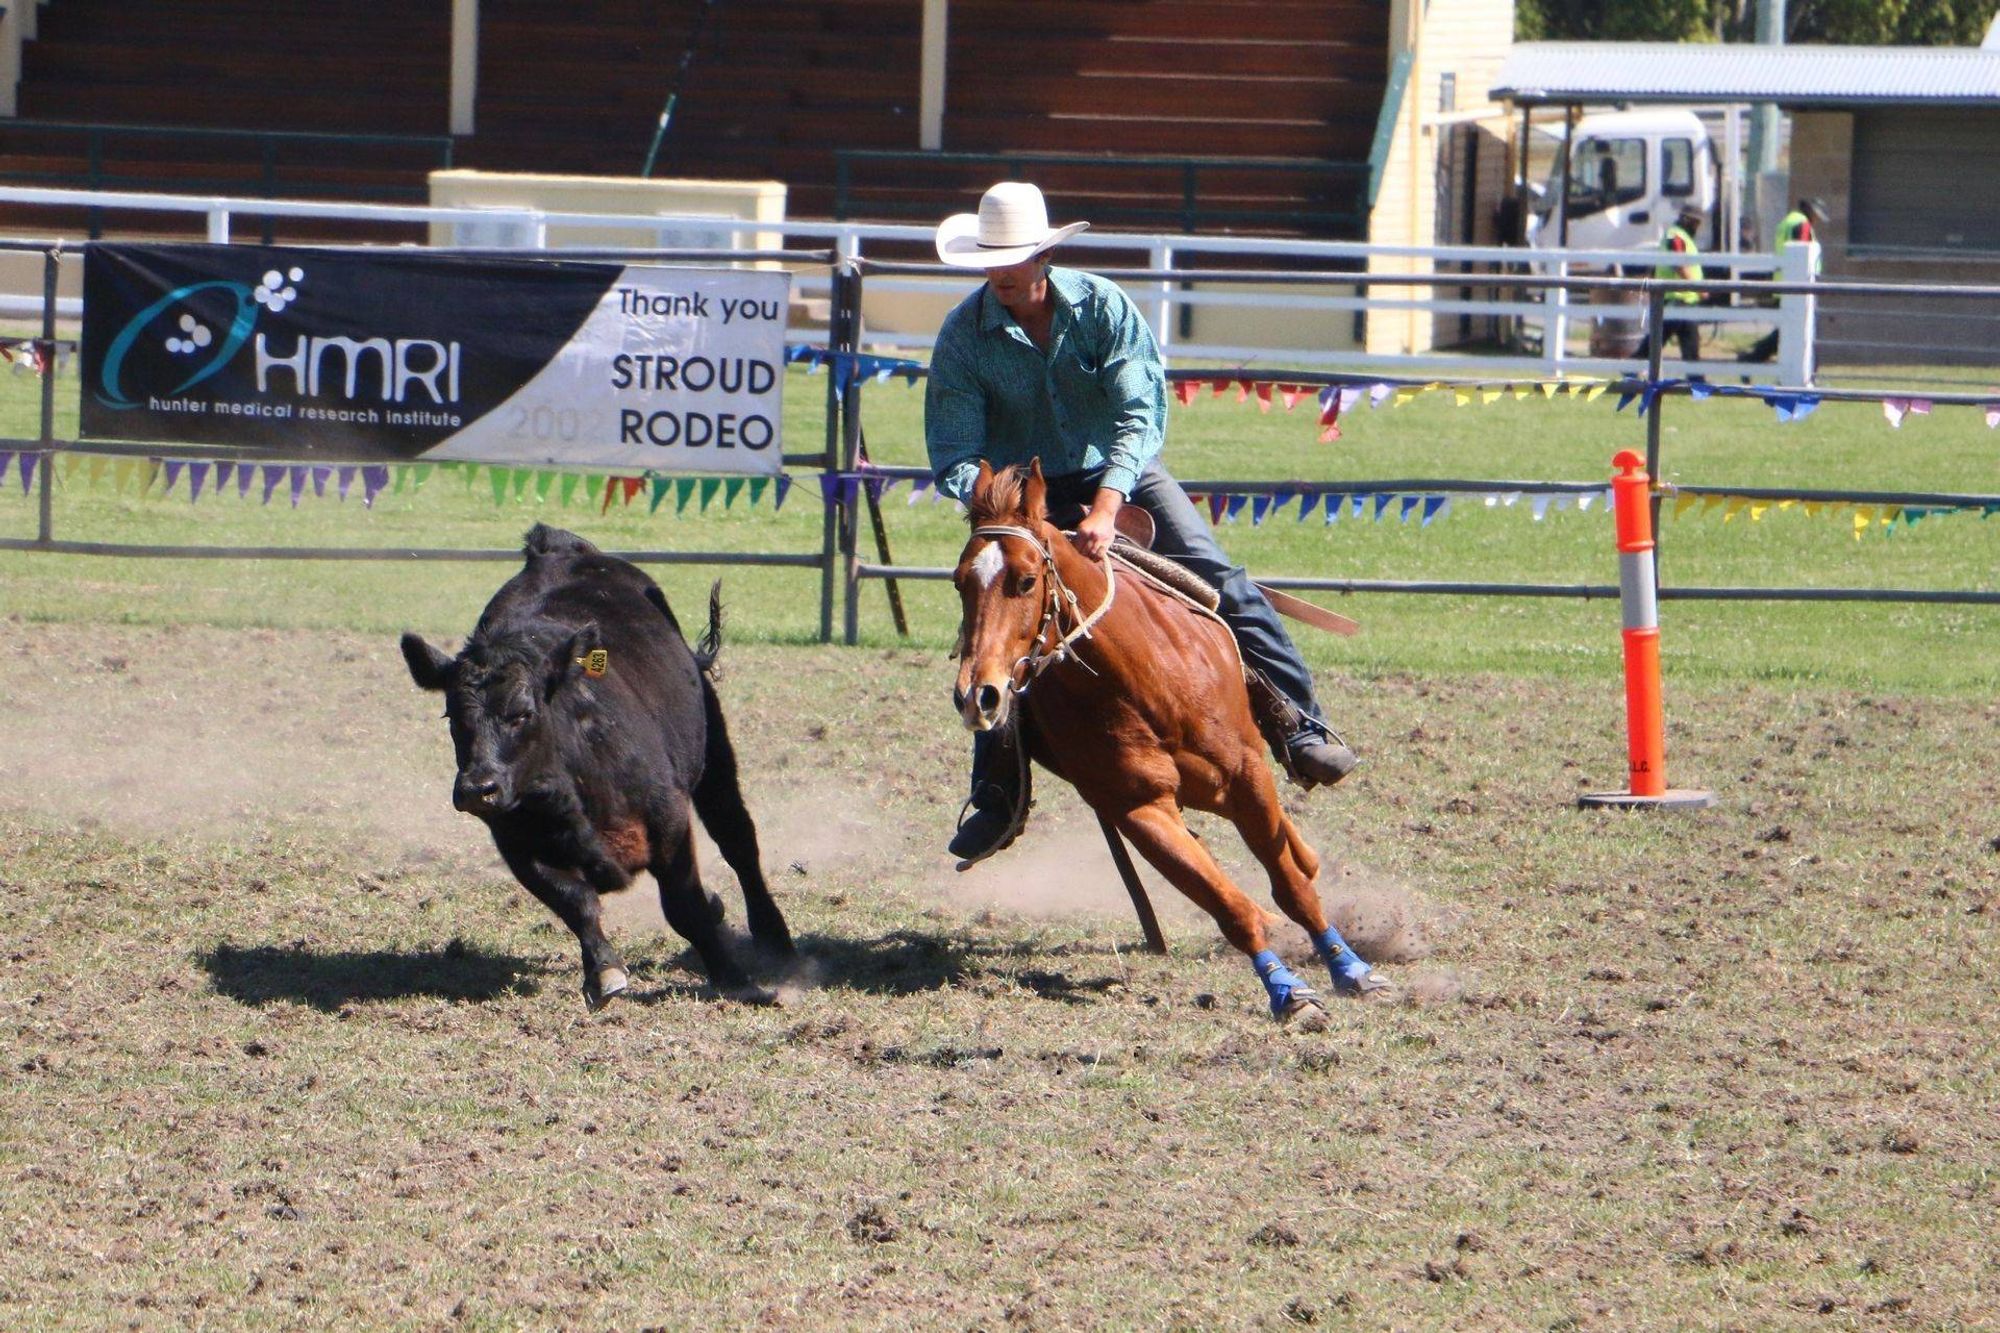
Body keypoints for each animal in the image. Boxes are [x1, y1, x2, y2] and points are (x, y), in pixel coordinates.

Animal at [398, 524, 788, 1000]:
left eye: (523, 713)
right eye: (452, 715)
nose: (478, 789)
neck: (570, 789)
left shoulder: (670, 821)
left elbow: (684, 906)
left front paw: (734, 977)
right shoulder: (516, 843)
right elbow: (575, 902)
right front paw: (604, 970)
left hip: (715, 756)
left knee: (738, 841)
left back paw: (773, 935)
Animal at [956, 456, 1392, 1016]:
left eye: (1027, 580)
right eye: (959, 582)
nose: (978, 694)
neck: (1137, 678)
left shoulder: (1247, 774)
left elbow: (1292, 887)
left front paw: (1351, 968)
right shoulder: (1140, 810)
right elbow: (1226, 904)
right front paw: (1287, 992)